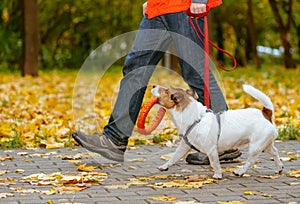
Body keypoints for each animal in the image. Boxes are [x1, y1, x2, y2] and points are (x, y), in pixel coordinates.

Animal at [152, 84, 284, 178]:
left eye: (166, 90)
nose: (153, 86)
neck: (194, 117)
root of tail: (265, 113)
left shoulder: (211, 149)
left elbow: (214, 162)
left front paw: (218, 174)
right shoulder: (184, 146)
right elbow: (174, 157)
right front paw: (164, 166)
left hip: (255, 146)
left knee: (250, 161)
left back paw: (240, 171)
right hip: (265, 145)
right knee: (275, 152)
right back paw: (279, 168)